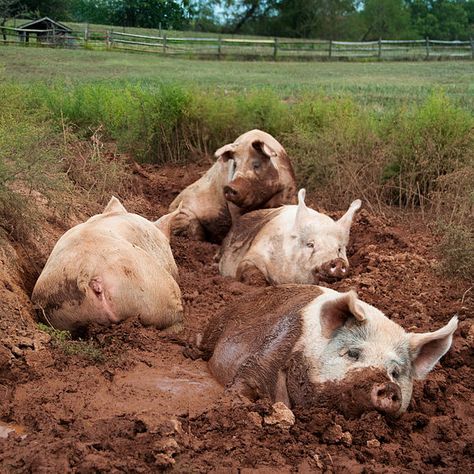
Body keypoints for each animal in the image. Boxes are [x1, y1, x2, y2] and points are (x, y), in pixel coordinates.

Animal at [168, 129, 296, 243]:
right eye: (235, 165)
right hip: (183, 214)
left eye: (256, 165)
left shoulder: (288, 191)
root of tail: (169, 207)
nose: (229, 187)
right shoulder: (233, 206)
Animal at [198, 284, 458, 416]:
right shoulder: (270, 350)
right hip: (215, 328)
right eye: (353, 353)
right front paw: (229, 406)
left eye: (395, 373)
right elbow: (247, 380)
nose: (389, 387)